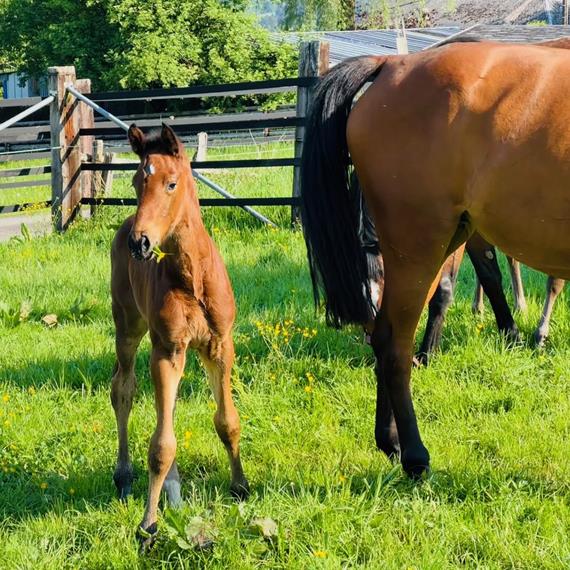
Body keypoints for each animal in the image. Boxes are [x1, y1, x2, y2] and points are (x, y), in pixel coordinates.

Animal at [110, 122, 247, 540]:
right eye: (136, 182)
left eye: (171, 184)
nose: (140, 243)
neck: (192, 277)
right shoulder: (168, 350)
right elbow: (160, 445)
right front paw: (148, 522)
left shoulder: (219, 344)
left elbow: (227, 421)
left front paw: (241, 486)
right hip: (128, 326)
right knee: (123, 389)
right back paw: (125, 476)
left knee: (162, 410)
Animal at [302, 40, 570, 474]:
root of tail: (392, 64)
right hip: (419, 245)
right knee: (394, 342)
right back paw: (413, 454)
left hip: (438, 242)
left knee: (389, 333)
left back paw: (391, 441)